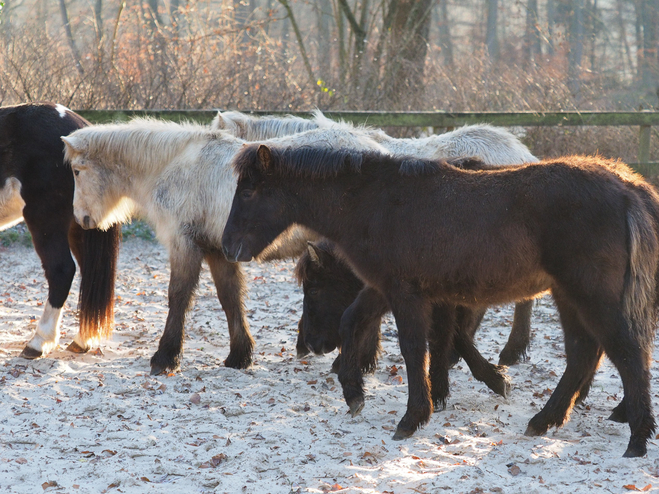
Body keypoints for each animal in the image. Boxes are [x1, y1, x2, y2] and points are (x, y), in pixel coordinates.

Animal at [60, 118, 390, 374]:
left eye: (76, 171)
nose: (80, 218)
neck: (174, 165)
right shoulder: (218, 250)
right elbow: (230, 298)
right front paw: (239, 356)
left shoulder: (184, 244)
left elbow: (178, 297)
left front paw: (165, 357)